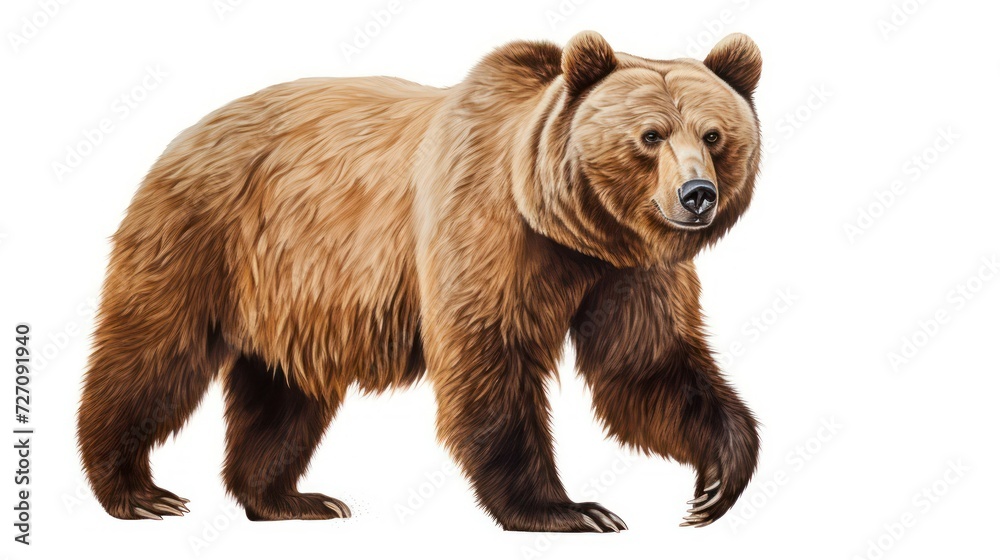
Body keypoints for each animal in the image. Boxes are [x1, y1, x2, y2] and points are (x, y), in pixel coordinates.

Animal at [77, 30, 763, 532]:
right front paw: (568, 509)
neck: (572, 231)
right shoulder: (481, 224)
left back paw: (289, 499)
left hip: (293, 290)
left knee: (284, 392)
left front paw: (718, 478)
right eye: (650, 136)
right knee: (155, 355)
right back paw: (135, 490)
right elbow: (489, 358)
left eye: (714, 134)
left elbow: (646, 364)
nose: (696, 194)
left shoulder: (628, 274)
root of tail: (187, 132)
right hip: (204, 234)